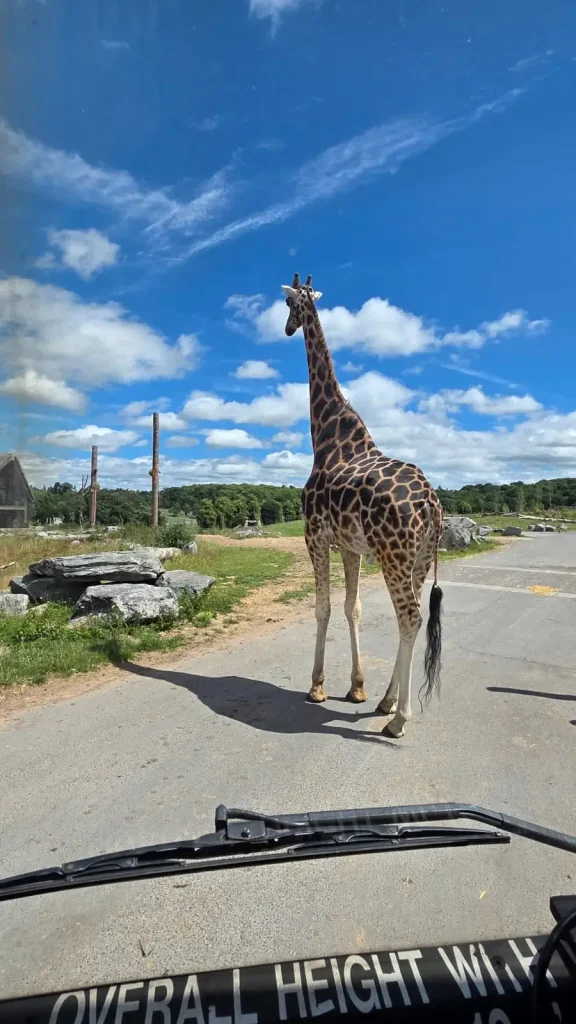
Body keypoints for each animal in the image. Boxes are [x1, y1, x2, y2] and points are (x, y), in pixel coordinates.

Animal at [281, 273, 444, 738]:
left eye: (289, 304)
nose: (286, 329)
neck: (326, 437)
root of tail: (431, 503)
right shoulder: (350, 547)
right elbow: (351, 608)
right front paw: (356, 688)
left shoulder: (314, 536)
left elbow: (323, 607)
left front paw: (317, 687)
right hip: (418, 558)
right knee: (412, 618)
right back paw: (386, 702)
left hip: (393, 555)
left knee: (410, 618)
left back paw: (399, 718)